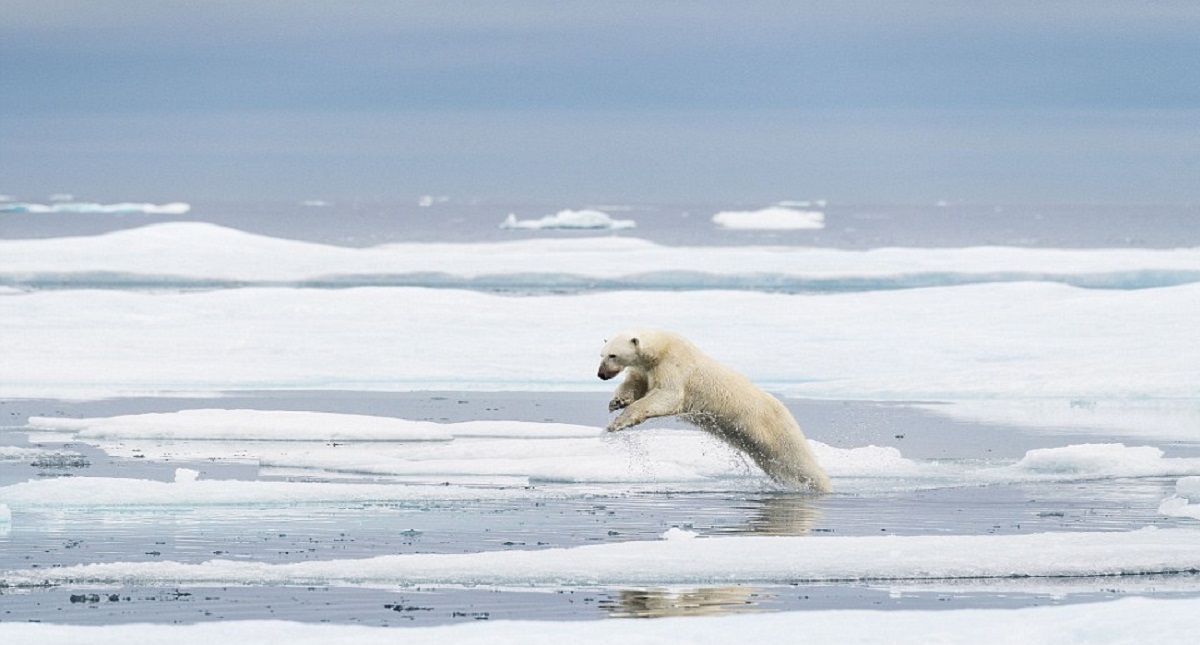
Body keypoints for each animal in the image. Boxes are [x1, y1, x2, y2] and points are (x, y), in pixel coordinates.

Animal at [598, 328, 832, 493]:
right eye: (601, 354)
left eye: (613, 355)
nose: (601, 375)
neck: (661, 348)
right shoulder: (645, 368)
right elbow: (635, 384)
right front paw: (617, 401)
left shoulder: (674, 366)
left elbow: (667, 396)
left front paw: (618, 423)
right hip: (757, 446)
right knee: (776, 465)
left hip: (775, 427)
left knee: (798, 459)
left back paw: (821, 485)